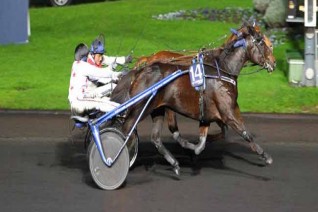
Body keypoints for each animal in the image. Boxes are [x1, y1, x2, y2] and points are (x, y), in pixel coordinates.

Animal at [112, 21, 276, 175]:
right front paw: (266, 156)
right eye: (261, 41)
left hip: (157, 109)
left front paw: (193, 150)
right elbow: (245, 133)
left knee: (156, 137)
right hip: (140, 108)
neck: (222, 69)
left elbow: (208, 140)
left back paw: (174, 163)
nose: (273, 62)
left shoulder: (210, 114)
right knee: (126, 131)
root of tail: (140, 70)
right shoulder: (227, 113)